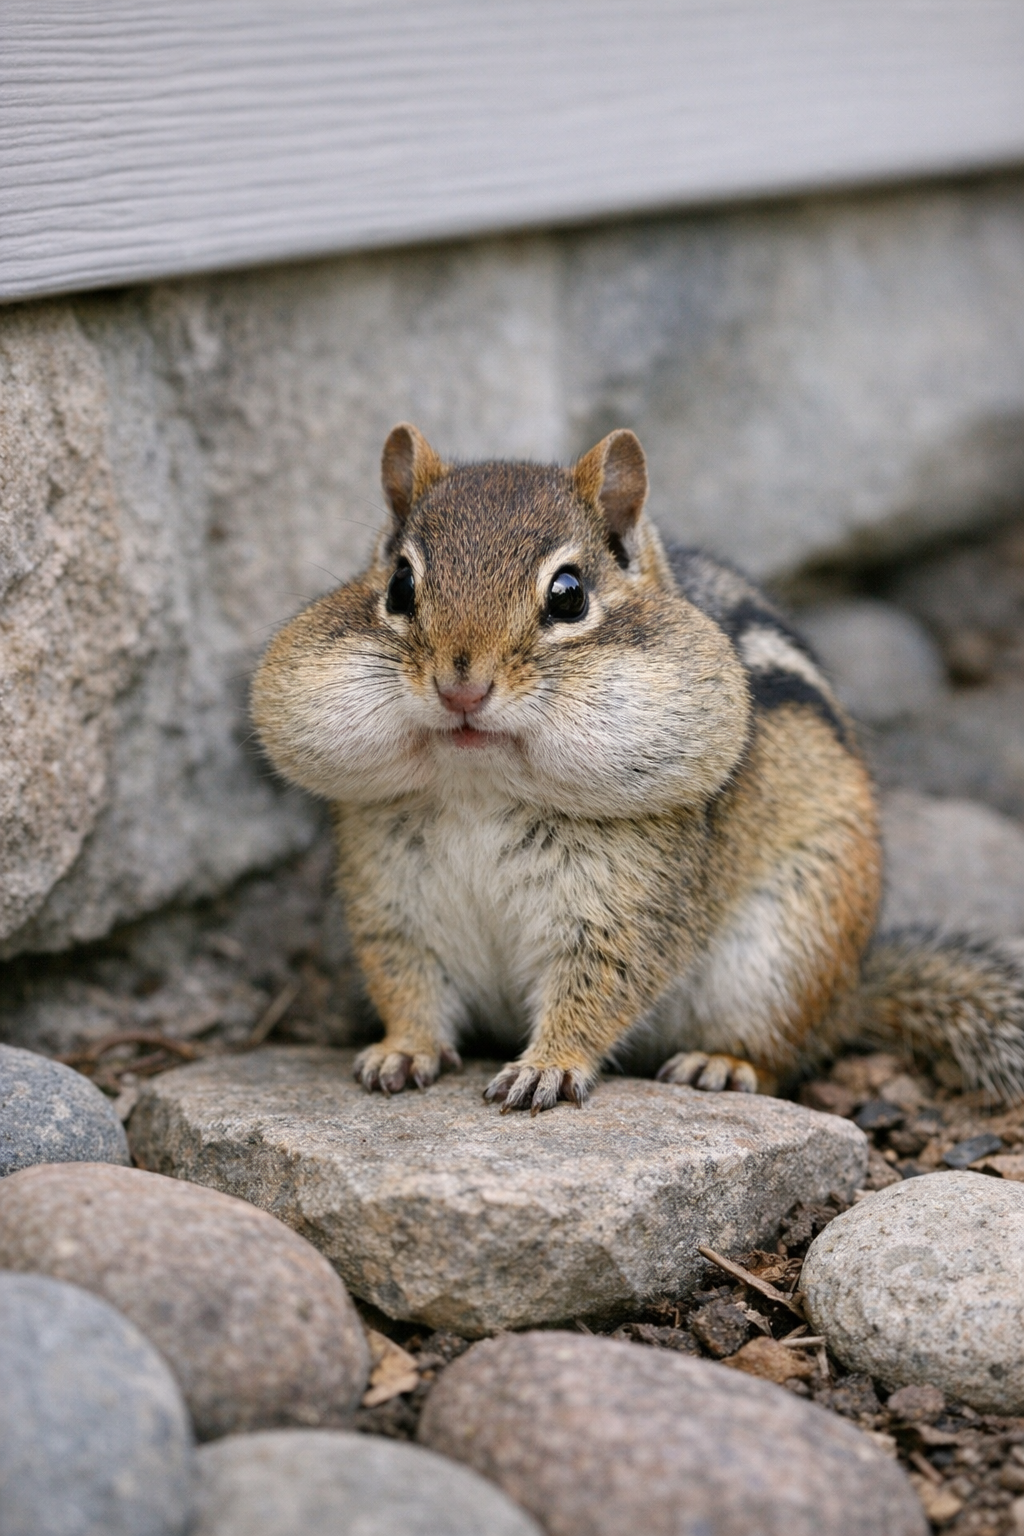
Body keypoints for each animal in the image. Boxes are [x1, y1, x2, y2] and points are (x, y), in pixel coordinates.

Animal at [252, 424, 1024, 1114]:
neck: (478, 785)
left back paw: (722, 1062)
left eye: (568, 595)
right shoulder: (391, 900)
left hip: (788, 947)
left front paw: (548, 1066)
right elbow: (404, 981)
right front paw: (403, 1049)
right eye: (400, 587)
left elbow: (600, 989)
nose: (461, 689)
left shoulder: (627, 908)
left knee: (781, 1050)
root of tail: (850, 991)